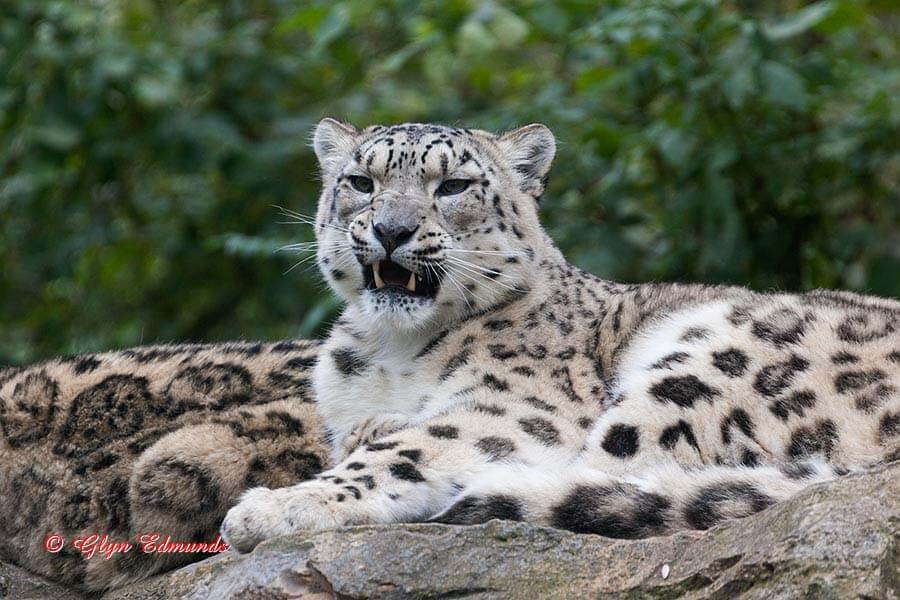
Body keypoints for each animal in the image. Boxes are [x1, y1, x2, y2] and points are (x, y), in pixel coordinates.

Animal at [221, 118, 900, 554]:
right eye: (361, 182)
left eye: (453, 186)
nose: (391, 229)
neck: (392, 350)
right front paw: (364, 429)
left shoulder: (516, 409)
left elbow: (410, 448)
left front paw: (274, 508)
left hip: (712, 361)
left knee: (614, 470)